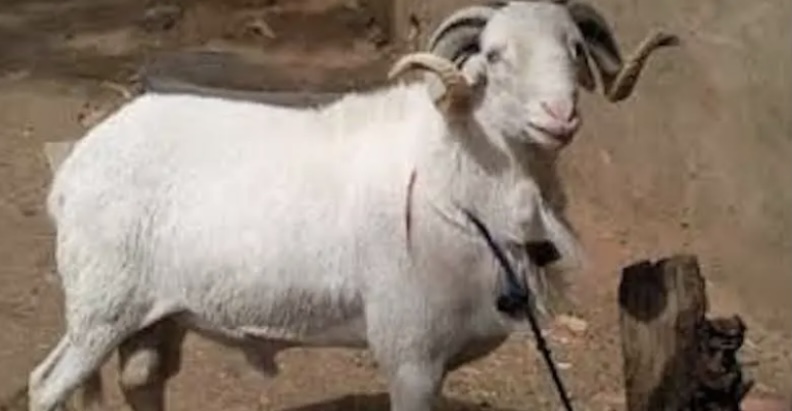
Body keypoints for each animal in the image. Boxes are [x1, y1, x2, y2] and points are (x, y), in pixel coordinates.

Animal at [29, 1, 677, 411]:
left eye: (575, 48)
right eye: (493, 56)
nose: (559, 116)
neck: (456, 174)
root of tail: (77, 163)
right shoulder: (410, 356)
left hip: (154, 318)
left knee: (141, 381)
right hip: (101, 306)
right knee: (44, 384)